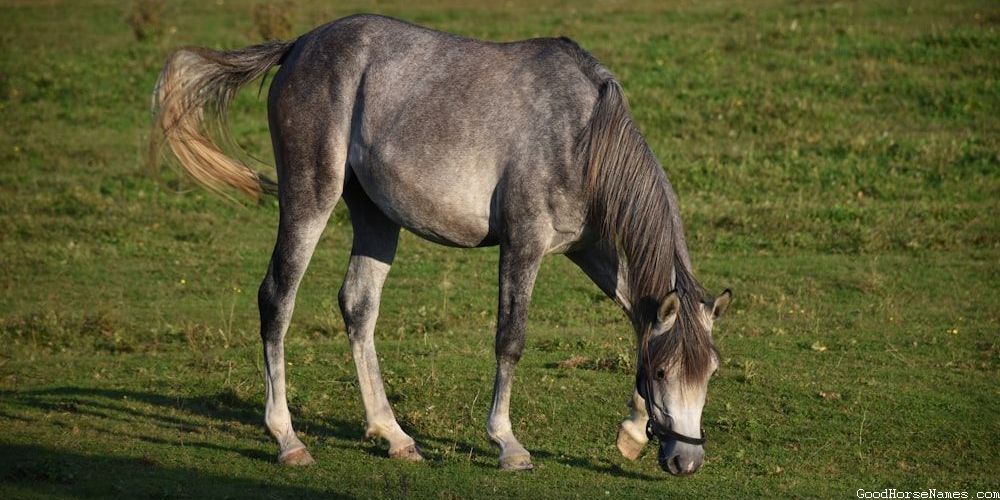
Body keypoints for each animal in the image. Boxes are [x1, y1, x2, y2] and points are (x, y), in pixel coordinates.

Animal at [150, 13, 731, 475]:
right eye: (664, 373)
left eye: (710, 372)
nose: (686, 461)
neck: (583, 136)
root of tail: (299, 45)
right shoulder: (523, 244)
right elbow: (510, 339)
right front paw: (507, 444)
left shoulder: (588, 248)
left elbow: (638, 314)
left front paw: (632, 431)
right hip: (309, 196)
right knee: (277, 298)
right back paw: (287, 439)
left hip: (376, 218)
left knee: (358, 306)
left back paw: (394, 435)